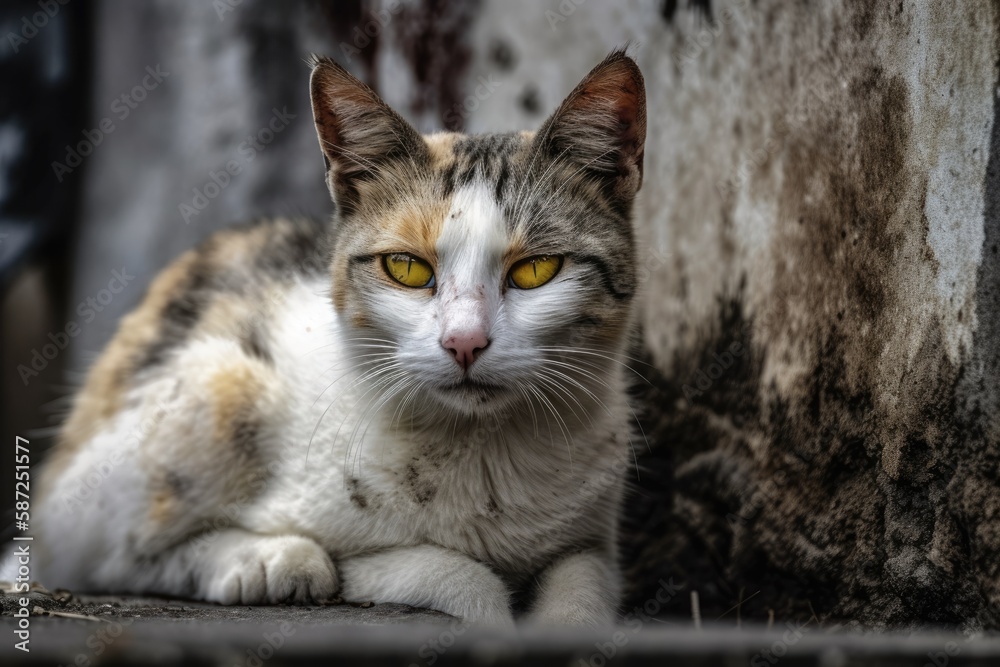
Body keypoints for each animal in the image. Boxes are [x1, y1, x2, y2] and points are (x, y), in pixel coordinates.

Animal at [25, 51, 648, 628]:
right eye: (406, 268)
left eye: (537, 269)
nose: (464, 343)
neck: (485, 448)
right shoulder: (372, 557)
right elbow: (455, 578)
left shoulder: (593, 544)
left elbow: (585, 589)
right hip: (215, 385)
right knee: (107, 557)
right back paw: (267, 563)